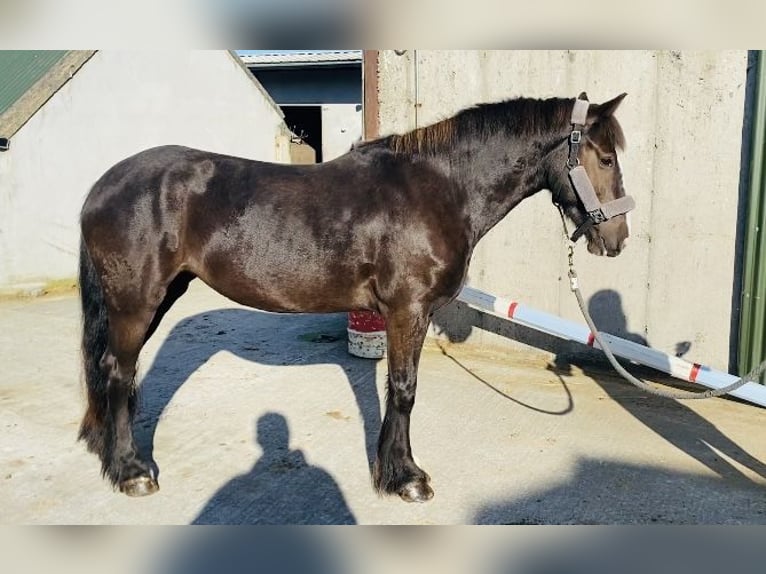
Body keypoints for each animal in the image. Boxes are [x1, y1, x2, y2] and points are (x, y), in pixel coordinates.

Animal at [78, 90, 632, 504]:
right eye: (605, 158)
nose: (618, 239)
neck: (440, 188)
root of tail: (103, 185)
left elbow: (393, 388)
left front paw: (391, 470)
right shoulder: (407, 310)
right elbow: (404, 390)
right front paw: (406, 479)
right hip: (136, 302)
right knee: (117, 373)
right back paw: (131, 471)